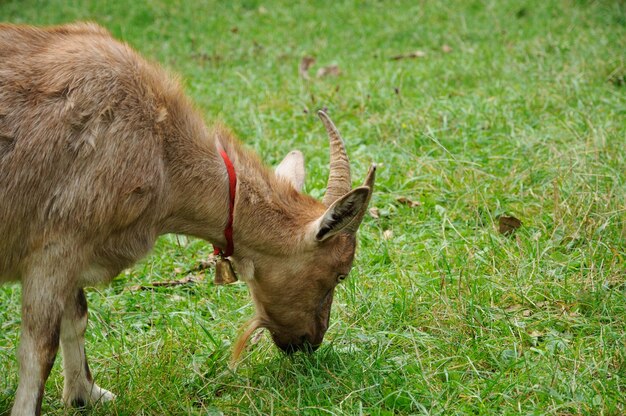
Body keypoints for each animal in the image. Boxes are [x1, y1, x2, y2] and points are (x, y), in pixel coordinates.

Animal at [0, 22, 372, 416]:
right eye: (340, 273)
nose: (308, 342)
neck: (160, 150)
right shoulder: (54, 248)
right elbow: (39, 349)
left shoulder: (72, 253)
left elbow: (76, 317)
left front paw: (86, 394)